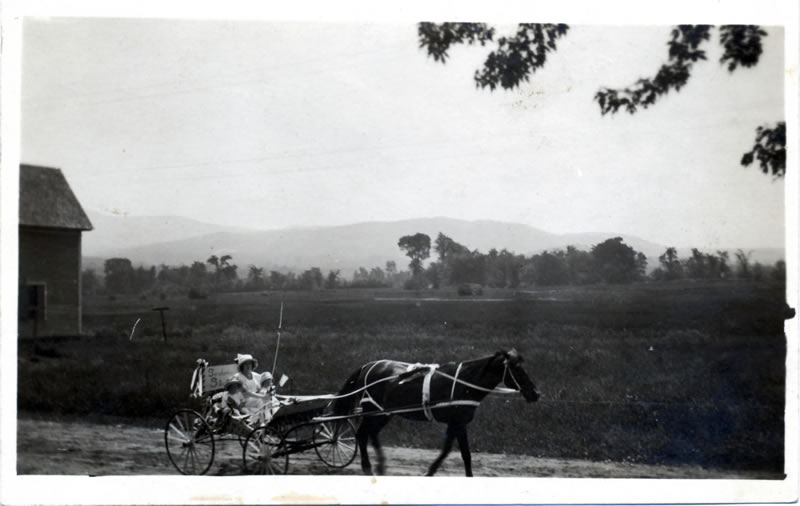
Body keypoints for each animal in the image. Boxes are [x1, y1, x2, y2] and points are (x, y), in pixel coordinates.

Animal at [328, 350, 540, 476]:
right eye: (517, 369)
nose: (535, 393)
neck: (464, 383)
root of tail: (367, 366)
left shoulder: (456, 423)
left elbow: (456, 452)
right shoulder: (458, 422)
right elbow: (461, 453)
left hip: (383, 414)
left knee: (369, 435)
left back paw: (379, 466)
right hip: (374, 412)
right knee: (362, 435)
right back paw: (368, 468)